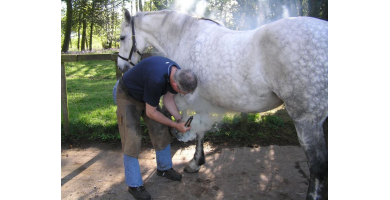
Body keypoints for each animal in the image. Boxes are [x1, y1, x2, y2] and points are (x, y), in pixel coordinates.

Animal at [117, 9, 328, 200]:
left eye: (121, 37)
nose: (121, 67)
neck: (184, 37)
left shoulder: (195, 99)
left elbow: (197, 130)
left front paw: (194, 161)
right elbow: (200, 129)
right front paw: (196, 161)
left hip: (305, 119)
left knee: (317, 165)